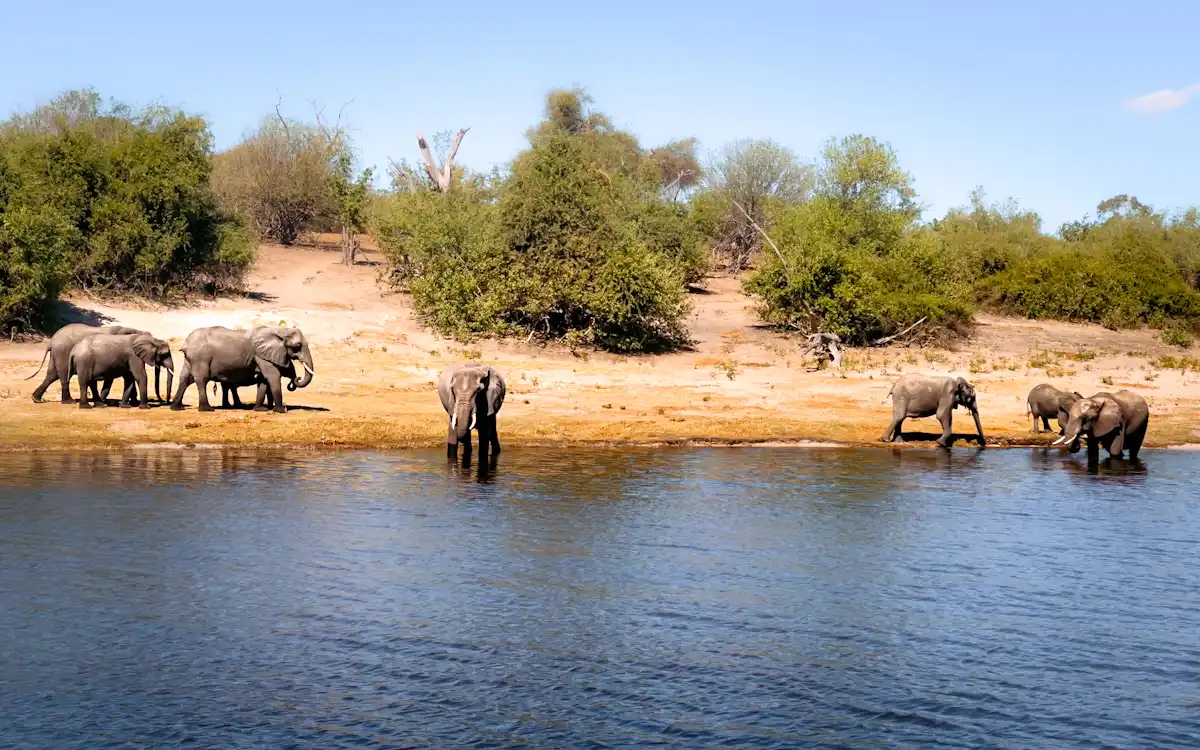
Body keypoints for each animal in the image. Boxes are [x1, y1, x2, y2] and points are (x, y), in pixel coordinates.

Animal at [170, 326, 314, 413]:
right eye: (297, 346)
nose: (297, 378)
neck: (280, 331)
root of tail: (186, 344)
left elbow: (264, 381)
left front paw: (260, 409)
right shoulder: (260, 354)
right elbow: (273, 377)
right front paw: (280, 411)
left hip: (190, 359)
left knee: (184, 379)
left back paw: (176, 408)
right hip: (200, 357)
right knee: (202, 380)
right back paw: (207, 409)